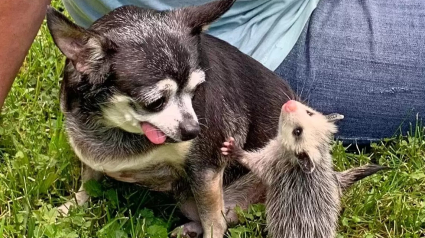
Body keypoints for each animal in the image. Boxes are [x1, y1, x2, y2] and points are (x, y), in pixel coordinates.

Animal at [46, 0, 296, 237]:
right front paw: (71, 207)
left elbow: (214, 222)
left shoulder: (205, 170)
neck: (113, 127)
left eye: (195, 90)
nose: (194, 131)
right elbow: (88, 181)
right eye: (156, 102)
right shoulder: (90, 155)